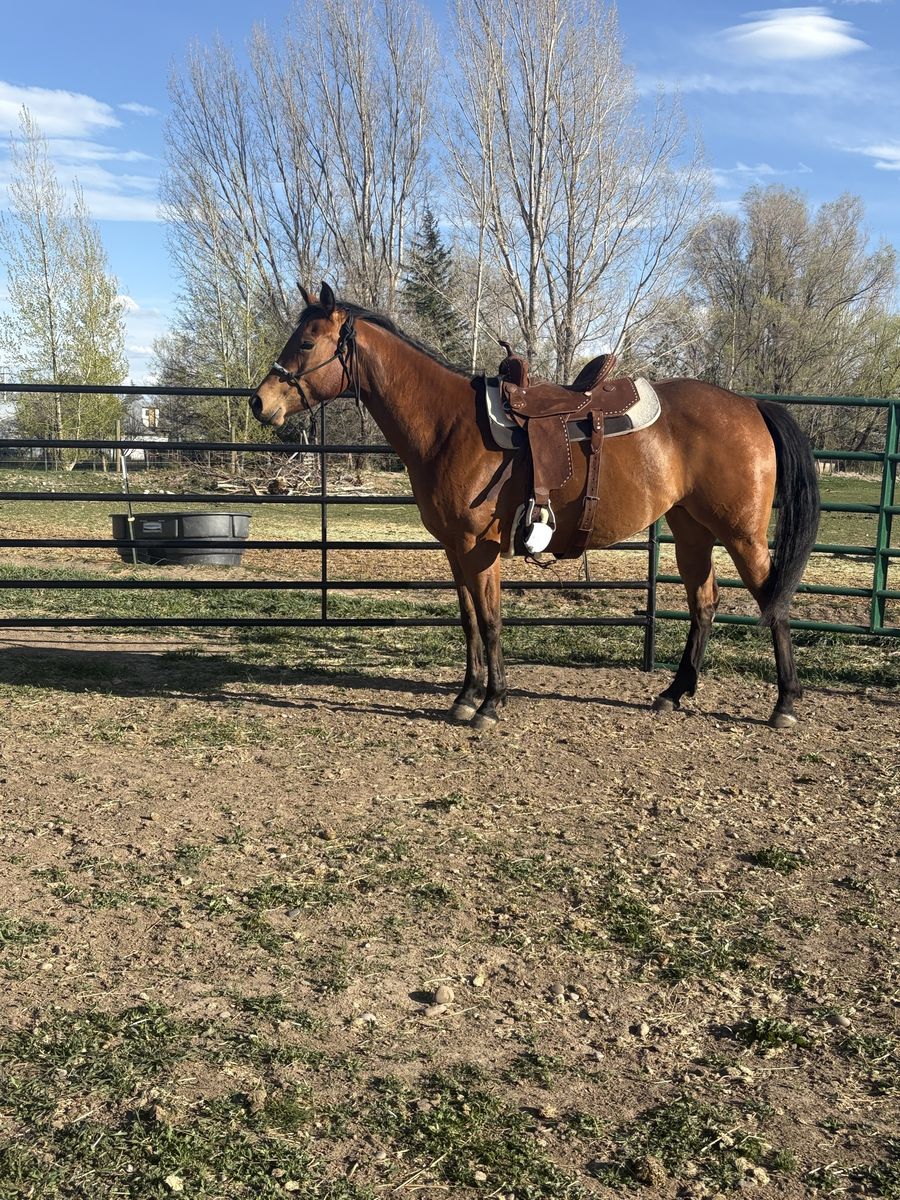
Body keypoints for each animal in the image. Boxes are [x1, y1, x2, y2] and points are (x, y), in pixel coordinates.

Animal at [249, 283, 820, 731]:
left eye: (306, 341)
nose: (259, 402)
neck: (447, 424)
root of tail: (750, 404)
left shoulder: (479, 548)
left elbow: (491, 620)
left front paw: (491, 703)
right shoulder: (454, 549)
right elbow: (469, 621)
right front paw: (466, 696)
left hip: (742, 535)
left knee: (774, 601)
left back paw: (785, 703)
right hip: (692, 532)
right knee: (704, 604)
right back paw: (674, 693)